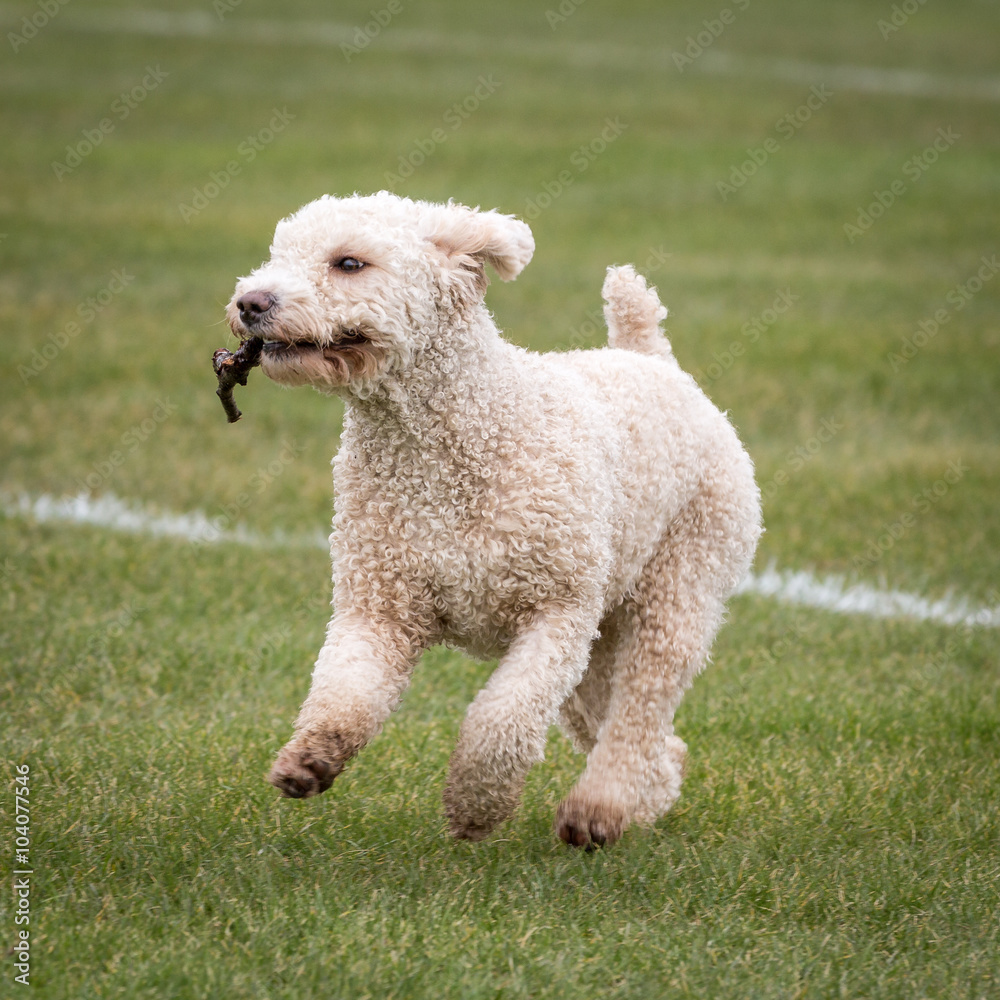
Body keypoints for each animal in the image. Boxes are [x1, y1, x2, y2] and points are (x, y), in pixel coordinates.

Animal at [225, 191, 756, 848]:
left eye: (349, 263)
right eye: (278, 255)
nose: (251, 302)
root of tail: (652, 360)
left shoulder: (558, 610)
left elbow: (501, 717)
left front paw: (476, 802)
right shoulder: (379, 605)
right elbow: (345, 689)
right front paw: (311, 758)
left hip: (680, 584)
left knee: (642, 703)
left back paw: (599, 807)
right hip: (602, 636)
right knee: (641, 733)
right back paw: (642, 799)